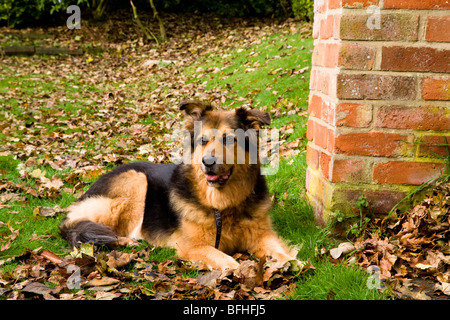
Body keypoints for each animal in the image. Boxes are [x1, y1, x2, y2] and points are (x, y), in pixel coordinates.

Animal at [60, 100, 298, 270]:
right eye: (203, 141)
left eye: (230, 139)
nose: (207, 163)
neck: (223, 204)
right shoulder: (192, 245)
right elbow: (222, 258)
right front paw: (234, 266)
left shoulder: (262, 234)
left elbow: (277, 249)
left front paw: (290, 261)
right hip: (135, 180)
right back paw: (126, 241)